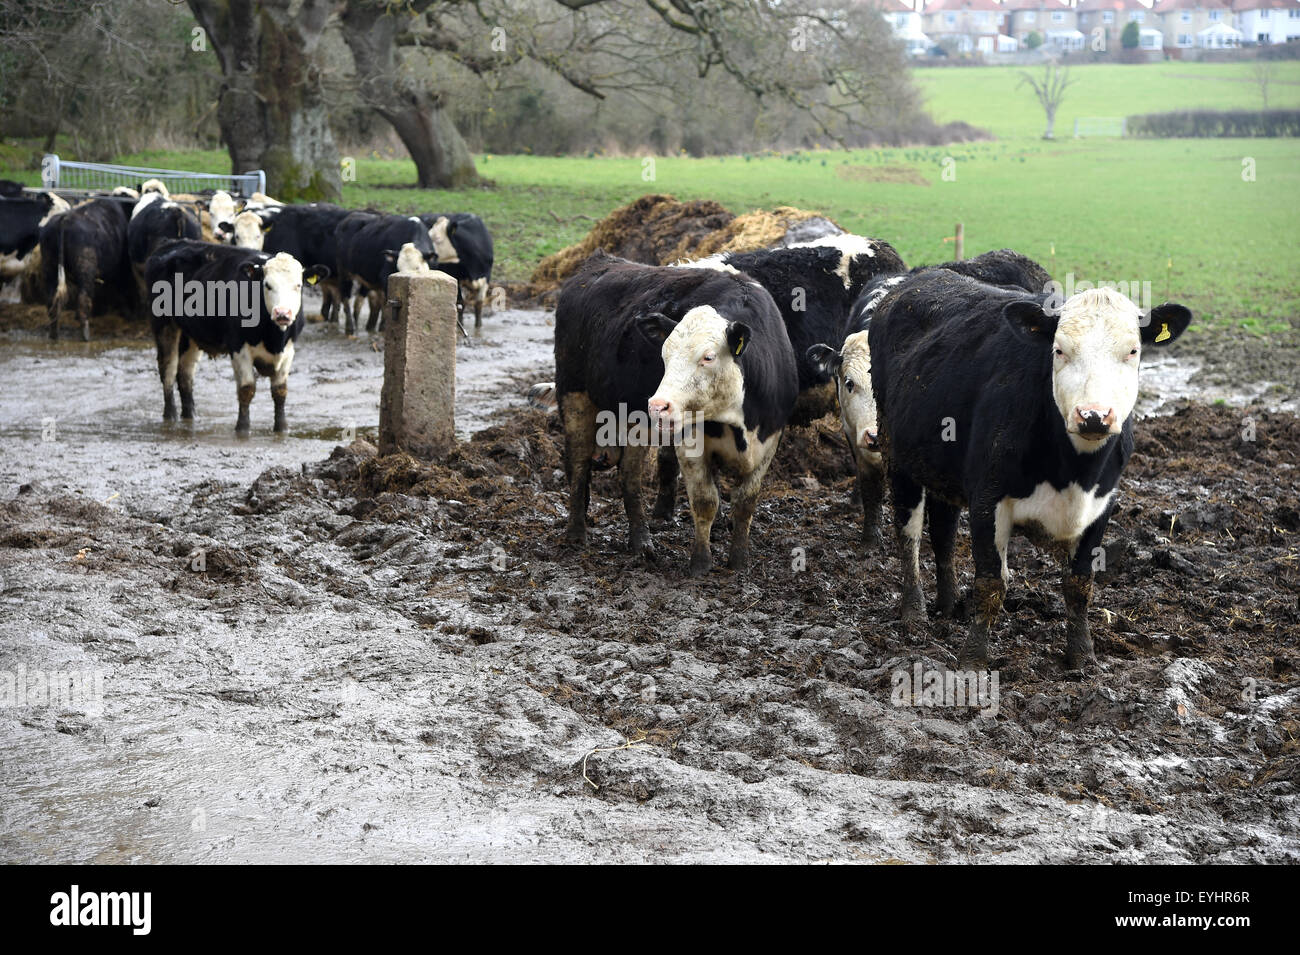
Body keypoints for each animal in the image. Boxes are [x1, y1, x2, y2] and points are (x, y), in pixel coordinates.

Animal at [40, 198, 132, 340]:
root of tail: (64, 220)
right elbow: (121, 290)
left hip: (49, 267)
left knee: (52, 301)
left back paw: (54, 334)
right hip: (85, 268)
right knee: (84, 298)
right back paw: (86, 333)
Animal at [145, 239, 328, 433]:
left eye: (298, 286)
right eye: (267, 285)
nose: (282, 313)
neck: (273, 338)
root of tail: (172, 243)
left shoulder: (288, 350)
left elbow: (280, 391)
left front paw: (281, 428)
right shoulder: (239, 348)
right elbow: (246, 389)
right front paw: (243, 427)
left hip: (192, 334)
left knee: (185, 373)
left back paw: (190, 416)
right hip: (164, 324)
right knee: (168, 369)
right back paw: (170, 415)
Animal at [555, 251, 797, 574]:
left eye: (708, 357)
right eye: (664, 355)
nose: (658, 405)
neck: (738, 421)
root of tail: (599, 262)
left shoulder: (770, 438)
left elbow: (745, 502)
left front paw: (739, 560)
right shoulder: (690, 442)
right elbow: (705, 500)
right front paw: (701, 563)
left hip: (633, 417)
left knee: (629, 475)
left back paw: (640, 541)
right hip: (575, 395)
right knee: (580, 462)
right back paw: (577, 533)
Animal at [867, 269, 1191, 671]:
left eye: (1132, 351)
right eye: (1059, 350)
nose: (1094, 415)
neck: (1074, 473)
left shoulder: (1102, 505)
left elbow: (1080, 583)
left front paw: (1082, 656)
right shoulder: (987, 498)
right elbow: (992, 583)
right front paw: (974, 659)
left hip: (943, 464)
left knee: (942, 531)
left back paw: (948, 604)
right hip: (896, 453)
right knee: (908, 534)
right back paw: (915, 614)